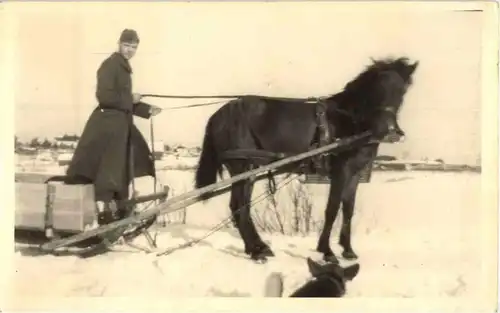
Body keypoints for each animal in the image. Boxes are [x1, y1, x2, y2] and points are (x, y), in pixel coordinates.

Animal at [195, 57, 418, 262]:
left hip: (249, 170)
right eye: (377, 90)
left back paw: (257, 248)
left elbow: (348, 210)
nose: (389, 131)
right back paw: (257, 251)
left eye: (402, 91)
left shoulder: (354, 175)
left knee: (241, 207)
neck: (348, 121)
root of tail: (218, 115)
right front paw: (327, 251)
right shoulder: (340, 172)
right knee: (238, 207)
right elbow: (332, 209)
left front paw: (347, 250)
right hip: (242, 166)